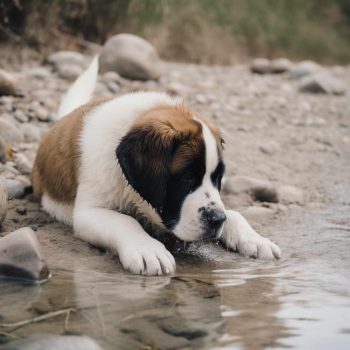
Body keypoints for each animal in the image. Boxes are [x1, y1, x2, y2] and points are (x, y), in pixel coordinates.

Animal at [31, 57, 280, 276]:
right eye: (187, 178)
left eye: (217, 178)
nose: (217, 219)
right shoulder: (88, 211)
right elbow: (125, 220)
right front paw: (147, 250)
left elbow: (235, 214)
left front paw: (256, 239)